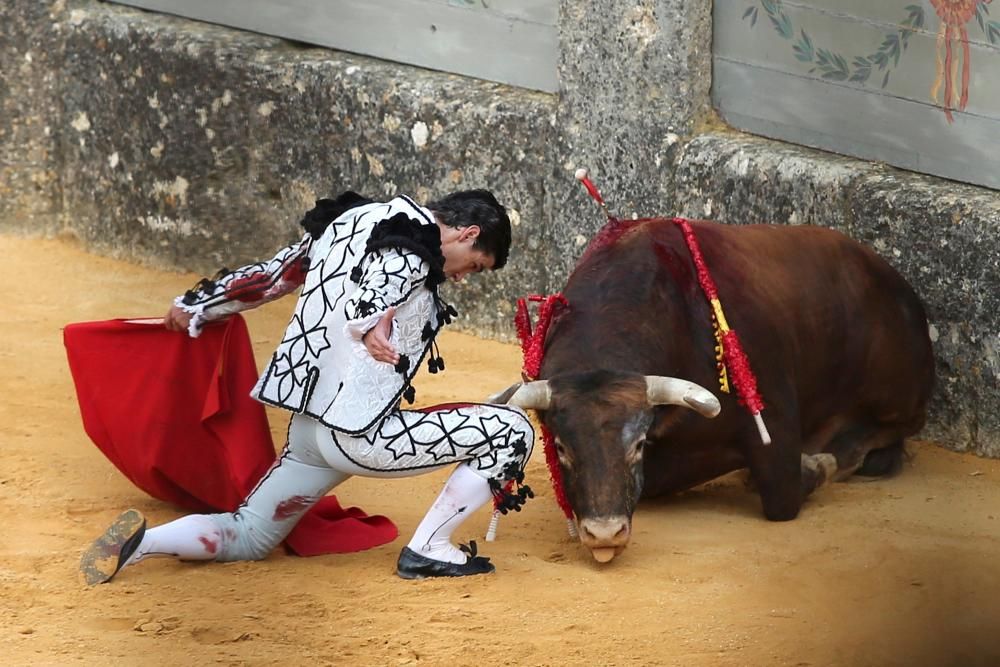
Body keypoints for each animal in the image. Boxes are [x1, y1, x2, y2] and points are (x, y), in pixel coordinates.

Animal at [496, 219, 932, 564]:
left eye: (637, 444)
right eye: (561, 447)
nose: (605, 535)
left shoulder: (774, 429)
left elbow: (783, 494)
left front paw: (814, 465)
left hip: (897, 406)